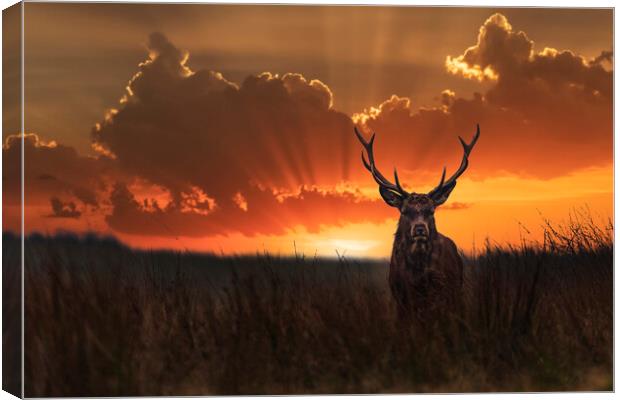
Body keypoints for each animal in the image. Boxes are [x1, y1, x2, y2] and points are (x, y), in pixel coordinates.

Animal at [354, 125, 480, 322]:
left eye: (431, 210)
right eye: (404, 210)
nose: (420, 229)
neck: (417, 280)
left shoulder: (442, 292)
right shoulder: (400, 296)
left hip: (456, 289)